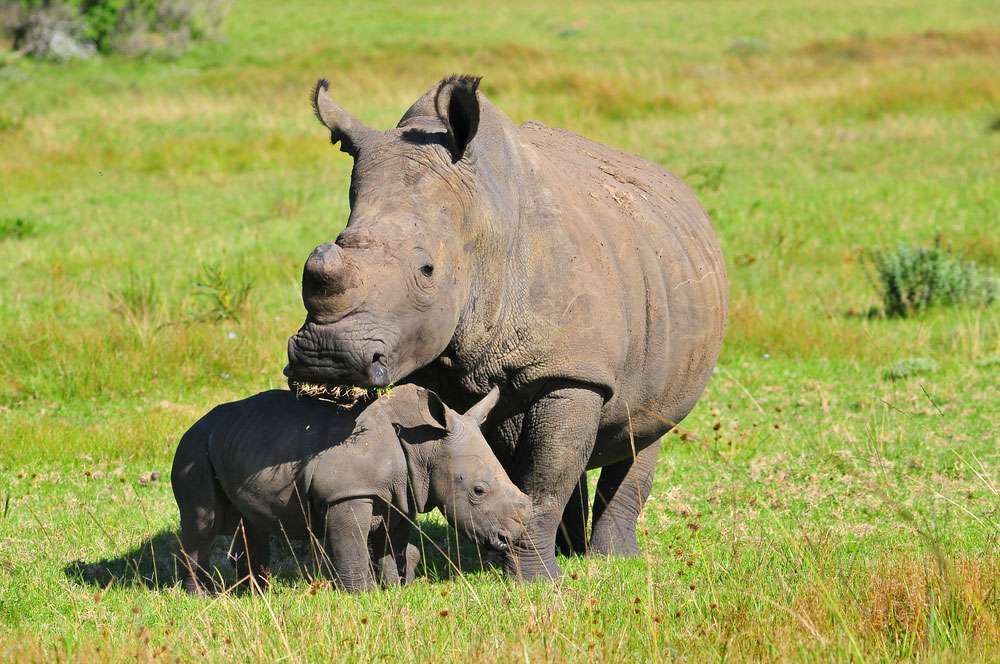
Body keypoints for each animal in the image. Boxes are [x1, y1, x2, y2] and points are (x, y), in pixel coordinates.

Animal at [170, 382, 532, 592]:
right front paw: (363, 595)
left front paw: (395, 589)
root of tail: (194, 425)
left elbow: (393, 543)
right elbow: (352, 544)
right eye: (478, 491)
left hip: (237, 442)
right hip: (194, 449)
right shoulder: (346, 492)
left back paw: (257, 593)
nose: (512, 538)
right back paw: (201, 595)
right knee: (203, 523)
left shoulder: (402, 495)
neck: (423, 443)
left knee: (251, 523)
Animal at [286, 74, 724, 580]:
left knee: (643, 430)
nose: (329, 355)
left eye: (427, 270)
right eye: (326, 252)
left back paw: (610, 560)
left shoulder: (573, 369)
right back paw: (565, 551)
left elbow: (545, 478)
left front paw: (535, 580)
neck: (480, 223)